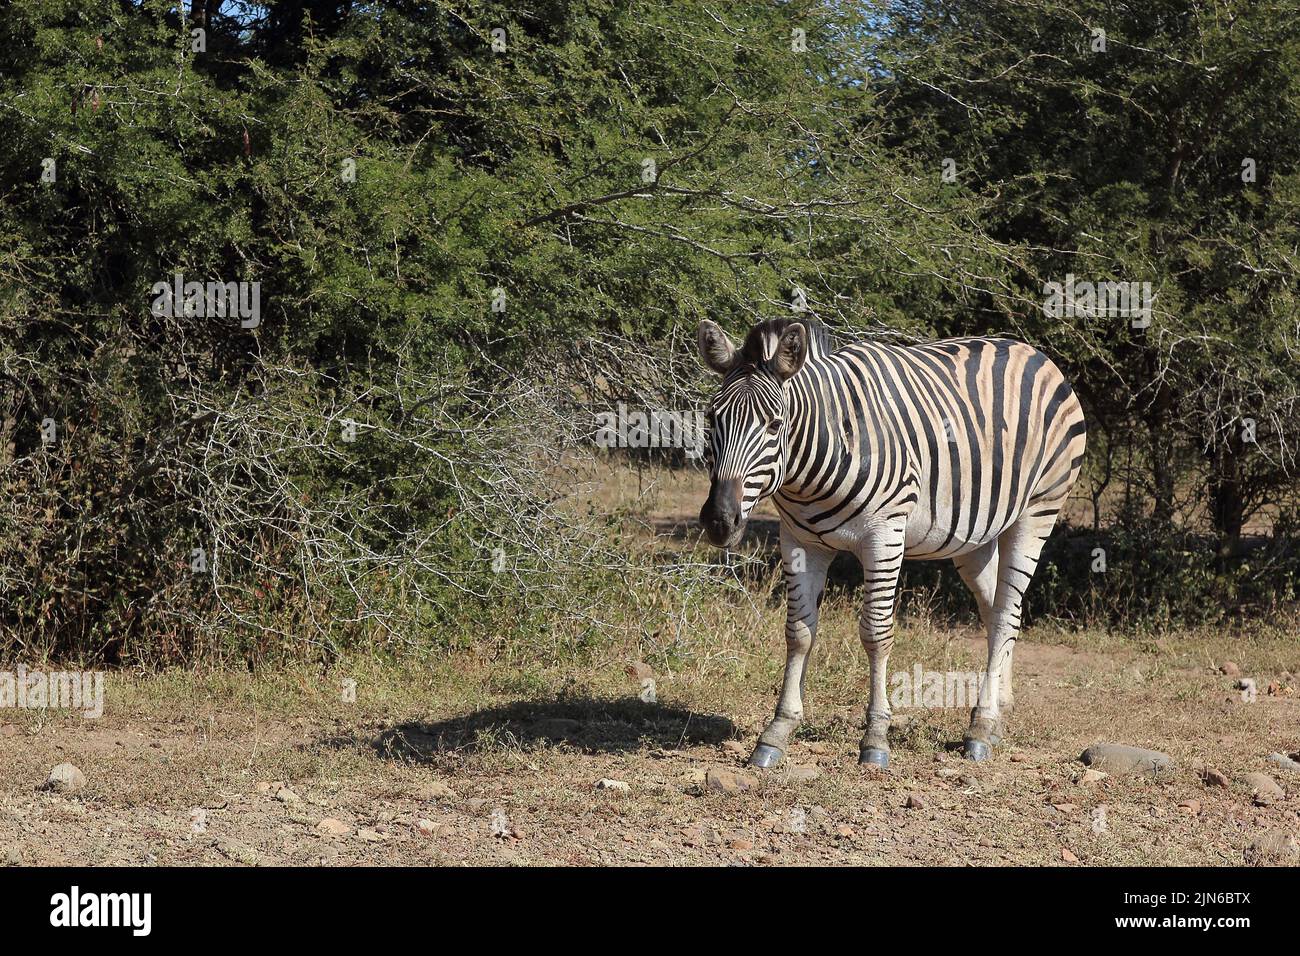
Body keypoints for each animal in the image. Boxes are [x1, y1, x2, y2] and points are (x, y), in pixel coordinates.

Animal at [696, 317, 1086, 767]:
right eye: (710, 418)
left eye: (775, 424)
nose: (719, 521)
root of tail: (1033, 351)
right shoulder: (799, 540)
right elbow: (798, 632)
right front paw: (777, 732)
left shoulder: (883, 537)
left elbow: (875, 633)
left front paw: (876, 738)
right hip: (975, 536)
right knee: (997, 613)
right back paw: (995, 715)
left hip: (1037, 511)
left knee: (1007, 613)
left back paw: (981, 728)